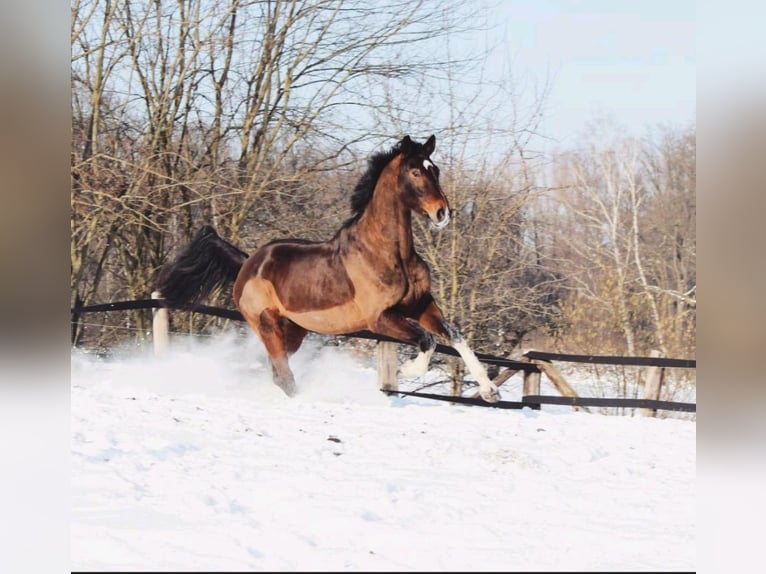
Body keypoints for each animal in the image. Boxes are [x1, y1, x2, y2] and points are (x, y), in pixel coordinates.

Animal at [157, 136, 504, 404]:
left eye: (437, 169)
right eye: (416, 171)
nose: (442, 213)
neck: (389, 254)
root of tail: (248, 264)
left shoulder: (420, 305)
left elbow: (455, 336)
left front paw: (490, 391)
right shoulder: (379, 318)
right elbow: (427, 340)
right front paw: (404, 372)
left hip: (293, 331)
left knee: (273, 370)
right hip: (268, 325)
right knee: (283, 374)